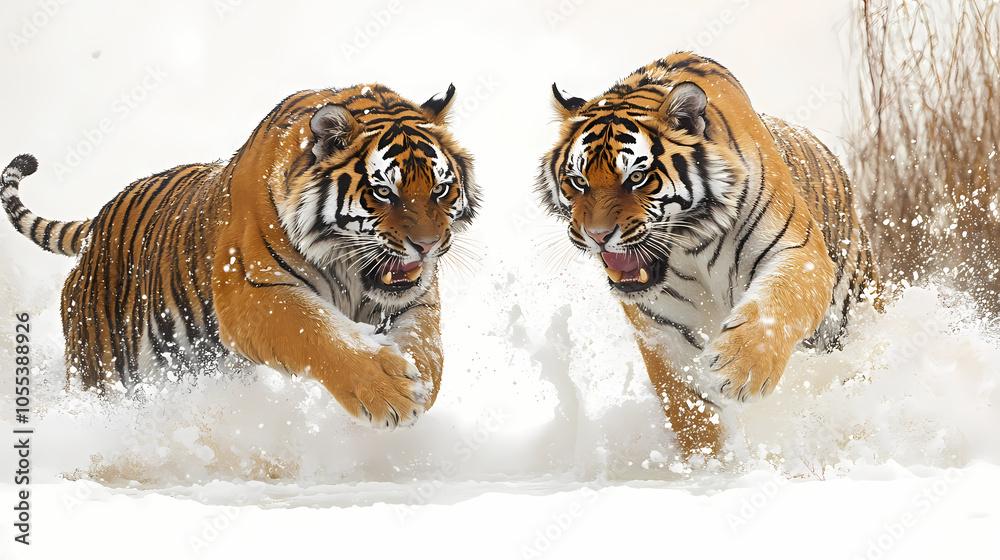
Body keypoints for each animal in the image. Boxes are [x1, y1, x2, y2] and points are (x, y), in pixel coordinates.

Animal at [2, 83, 480, 430]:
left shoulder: (417, 298)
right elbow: (319, 333)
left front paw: (415, 382)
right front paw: (388, 392)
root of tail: (96, 222)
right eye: (384, 192)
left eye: (440, 189)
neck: (349, 267)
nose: (427, 245)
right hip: (99, 367)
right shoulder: (252, 291)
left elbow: (426, 347)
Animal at [537, 52, 880, 458]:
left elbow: (775, 306)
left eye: (636, 178)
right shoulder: (663, 327)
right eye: (578, 182)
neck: (688, 245)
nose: (598, 236)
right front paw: (715, 467)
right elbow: (693, 415)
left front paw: (739, 371)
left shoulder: (798, 251)